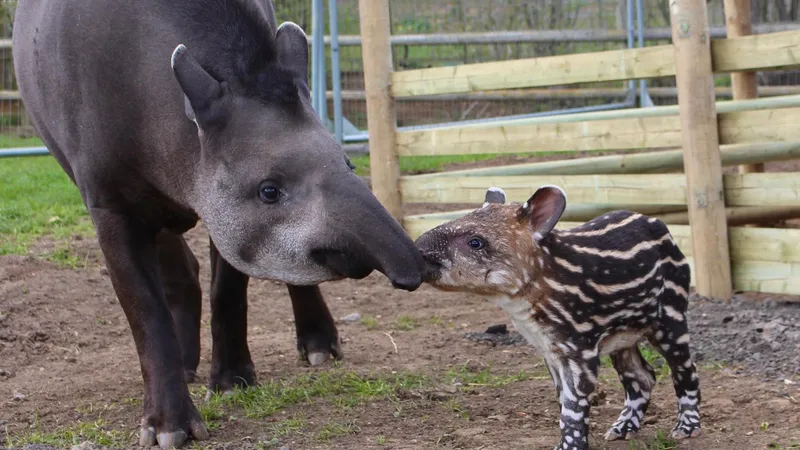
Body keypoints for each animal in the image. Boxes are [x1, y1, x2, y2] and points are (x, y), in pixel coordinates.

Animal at [416, 185, 704, 450]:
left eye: (476, 242)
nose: (418, 247)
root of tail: (661, 227)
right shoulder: (550, 349)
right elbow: (562, 400)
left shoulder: (579, 347)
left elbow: (574, 405)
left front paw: (571, 445)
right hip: (623, 334)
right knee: (642, 377)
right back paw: (622, 428)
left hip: (670, 312)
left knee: (685, 369)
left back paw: (687, 428)